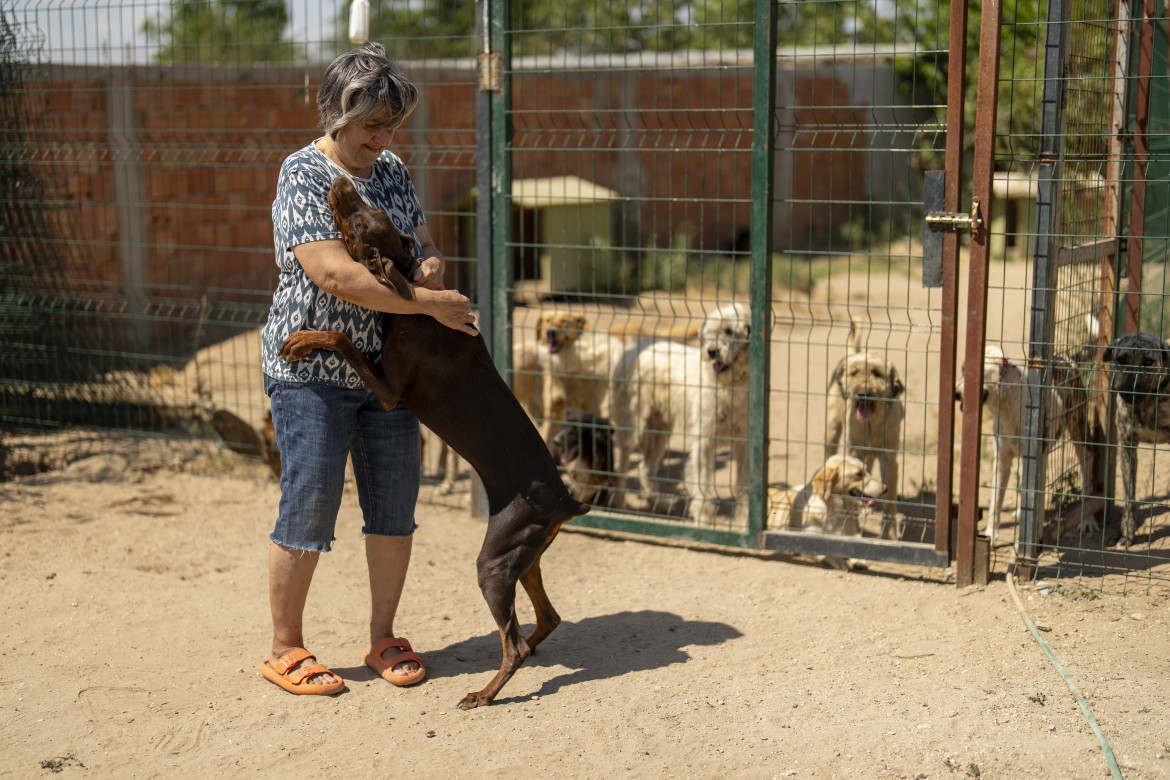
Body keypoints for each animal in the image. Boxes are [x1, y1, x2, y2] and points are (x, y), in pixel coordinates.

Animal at [608, 301, 753, 521]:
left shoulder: (743, 444)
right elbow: (702, 482)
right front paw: (704, 517)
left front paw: (743, 520)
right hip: (632, 428)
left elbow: (743, 486)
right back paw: (619, 502)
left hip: (660, 431)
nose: (711, 352)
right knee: (620, 465)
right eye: (709, 332)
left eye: (729, 331)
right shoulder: (704, 440)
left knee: (644, 468)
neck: (731, 386)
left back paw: (658, 502)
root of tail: (633, 348)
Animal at [823, 322, 903, 537]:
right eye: (854, 373)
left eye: (876, 373)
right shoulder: (854, 451)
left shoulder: (889, 460)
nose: (862, 393)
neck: (872, 422)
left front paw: (889, 534)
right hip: (832, 430)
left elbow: (890, 500)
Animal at [950, 343, 1095, 547]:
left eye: (982, 373)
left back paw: (1087, 519)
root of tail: (1064, 357)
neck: (1008, 408)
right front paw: (991, 535)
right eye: (963, 370)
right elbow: (995, 503)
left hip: (1078, 429)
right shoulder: (1001, 462)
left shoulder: (1038, 459)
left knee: (1087, 460)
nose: (955, 394)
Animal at [1099, 332, 1170, 547]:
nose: (1129, 392)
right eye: (1121, 360)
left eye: (1148, 362)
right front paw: (1126, 533)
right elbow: (1129, 494)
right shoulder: (1127, 448)